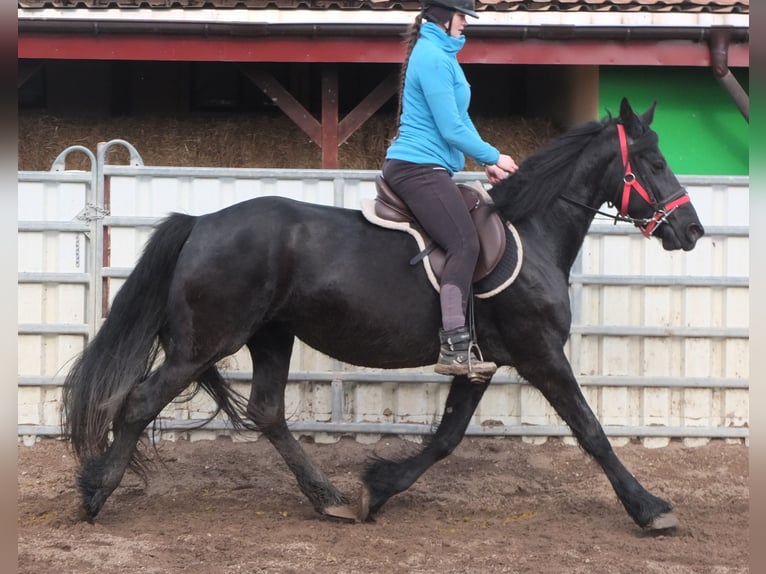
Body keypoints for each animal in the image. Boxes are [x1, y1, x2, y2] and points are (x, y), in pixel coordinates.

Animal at [63, 98, 704, 532]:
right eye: (653, 161)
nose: (692, 231)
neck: (533, 232)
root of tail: (201, 223)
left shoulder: (483, 363)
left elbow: (446, 437)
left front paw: (378, 487)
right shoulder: (539, 352)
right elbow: (591, 431)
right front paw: (650, 509)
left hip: (271, 336)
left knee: (268, 413)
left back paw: (330, 500)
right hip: (203, 344)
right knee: (141, 402)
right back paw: (95, 494)